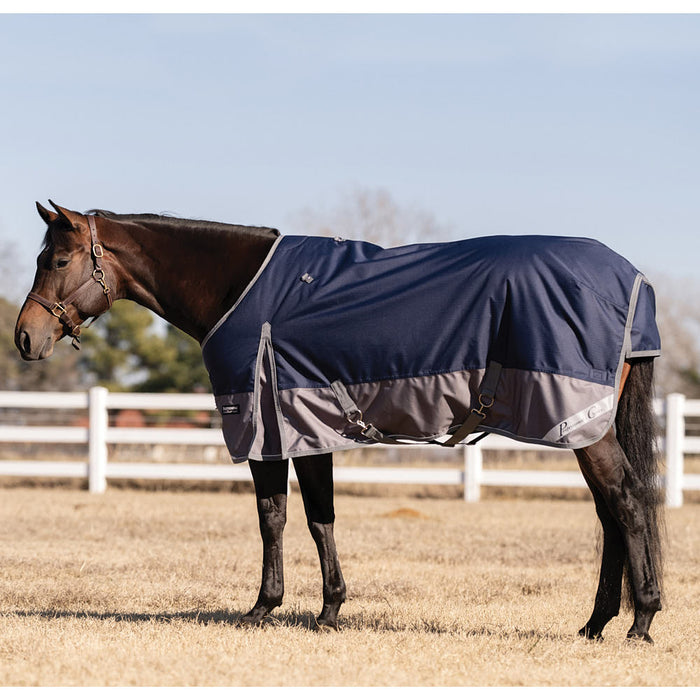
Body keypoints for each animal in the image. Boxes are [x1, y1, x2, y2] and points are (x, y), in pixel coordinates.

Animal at [14, 201, 664, 642]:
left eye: (60, 259)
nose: (24, 337)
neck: (244, 292)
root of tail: (631, 277)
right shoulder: (303, 427)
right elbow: (314, 517)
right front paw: (324, 608)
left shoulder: (269, 426)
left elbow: (279, 517)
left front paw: (272, 607)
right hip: (584, 428)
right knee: (609, 514)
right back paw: (596, 623)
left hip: (582, 424)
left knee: (627, 503)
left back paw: (641, 621)